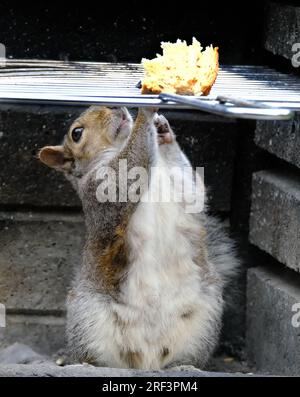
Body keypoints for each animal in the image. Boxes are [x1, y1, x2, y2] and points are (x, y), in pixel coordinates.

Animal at [38, 106, 238, 370]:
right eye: (76, 133)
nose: (116, 107)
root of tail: (146, 362)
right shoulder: (101, 189)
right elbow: (125, 177)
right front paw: (146, 113)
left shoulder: (181, 190)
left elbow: (192, 189)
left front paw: (164, 132)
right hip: (87, 316)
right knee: (97, 356)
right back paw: (85, 364)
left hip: (204, 320)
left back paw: (183, 365)